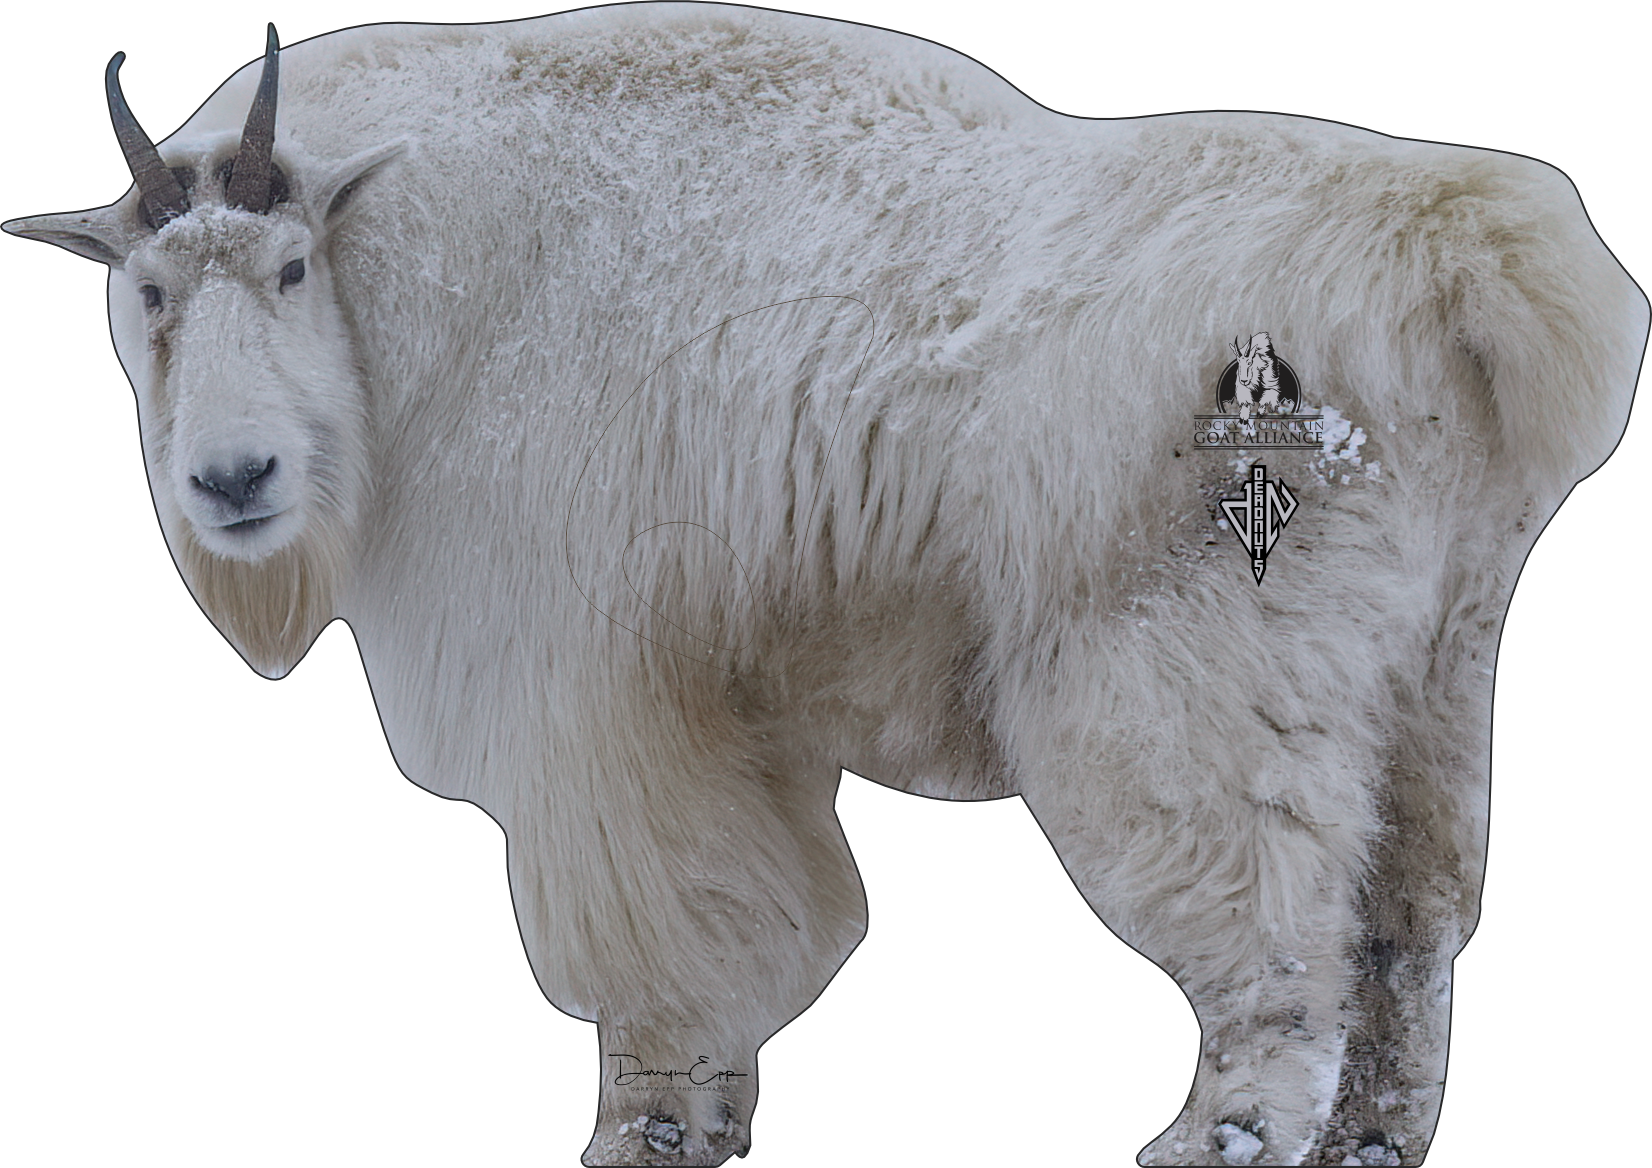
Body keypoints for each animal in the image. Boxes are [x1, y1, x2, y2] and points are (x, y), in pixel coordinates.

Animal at [4, 5, 1644, 1166]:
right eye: (146, 291)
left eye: (288, 271)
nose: (234, 481)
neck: (409, 280)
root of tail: (1455, 262)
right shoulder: (732, 690)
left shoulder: (585, 672)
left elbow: (660, 916)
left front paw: (648, 1129)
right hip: (1438, 646)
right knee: (1412, 910)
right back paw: (1373, 1136)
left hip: (1197, 628)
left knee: (1264, 892)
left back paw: (1213, 1135)